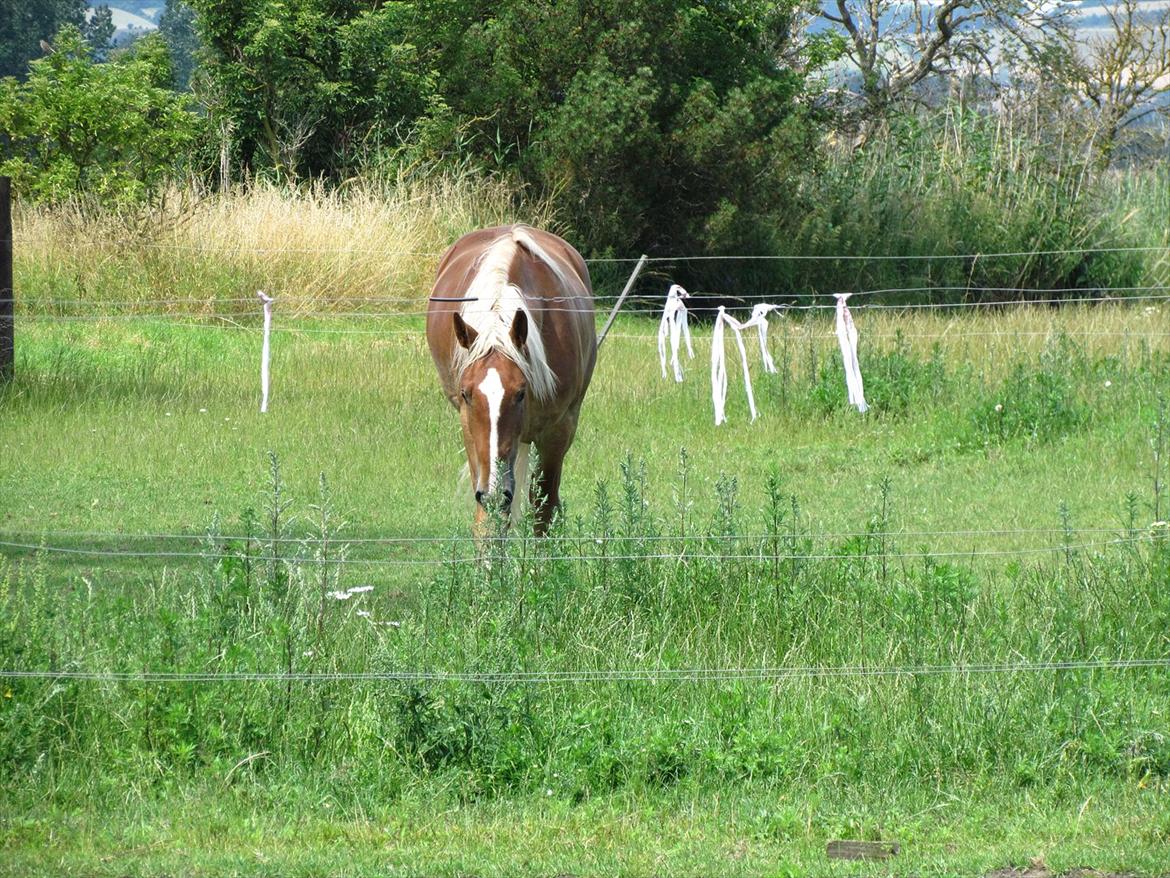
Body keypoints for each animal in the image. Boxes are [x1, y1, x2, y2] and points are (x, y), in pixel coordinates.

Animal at [425, 223, 599, 533]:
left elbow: (544, 511)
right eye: (466, 394)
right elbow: (490, 519)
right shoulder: (470, 430)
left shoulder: (558, 431)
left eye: (520, 393)